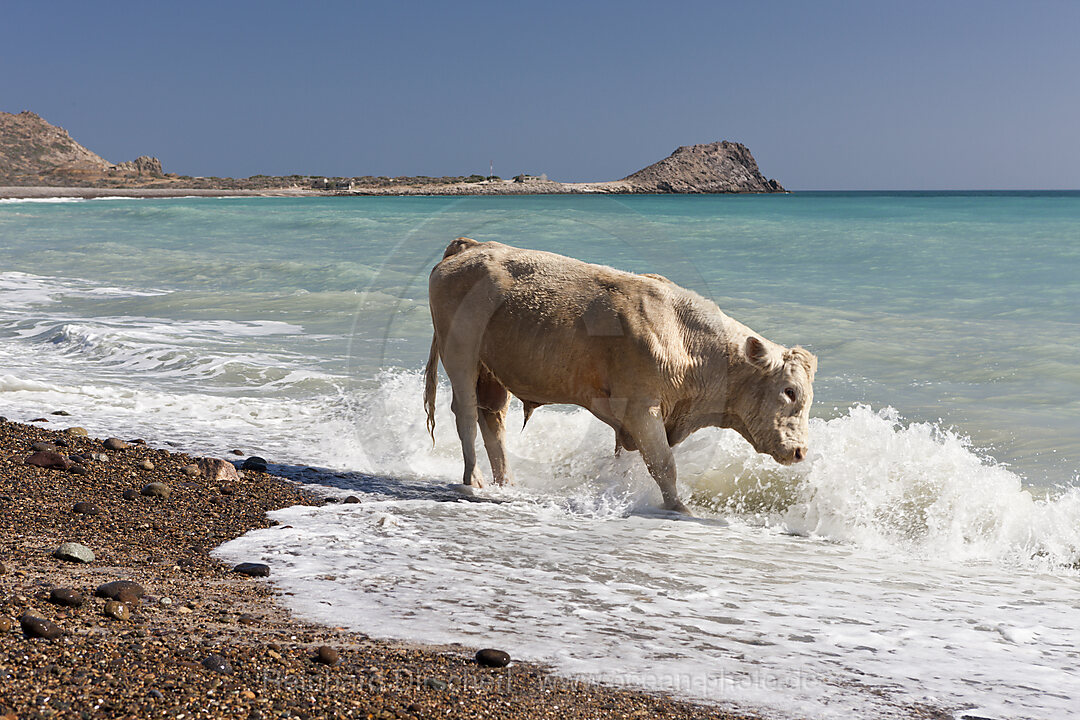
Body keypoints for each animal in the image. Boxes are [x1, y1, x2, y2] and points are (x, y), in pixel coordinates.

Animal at [425, 239, 812, 515]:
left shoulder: (632, 421)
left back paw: (507, 483)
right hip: (460, 353)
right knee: (466, 414)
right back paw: (473, 480)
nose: (800, 451)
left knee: (493, 420)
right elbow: (663, 465)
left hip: (492, 370)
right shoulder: (641, 408)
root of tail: (470, 247)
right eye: (789, 391)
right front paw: (679, 508)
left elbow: (627, 464)